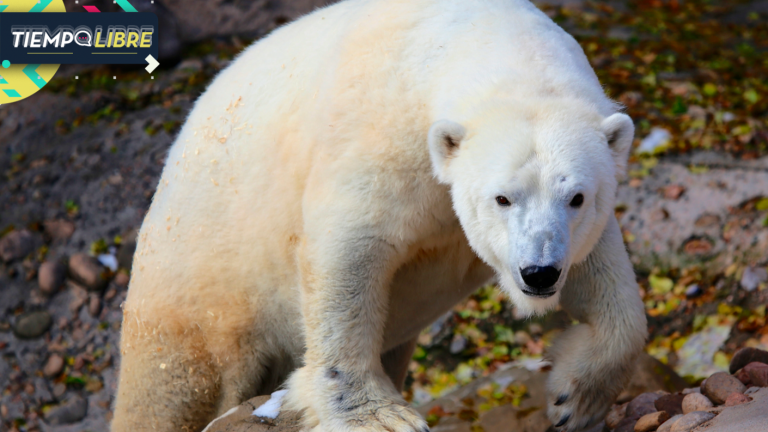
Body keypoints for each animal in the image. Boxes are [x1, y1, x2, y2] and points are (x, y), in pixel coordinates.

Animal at [111, 0, 647, 431]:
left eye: (576, 197)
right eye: (502, 198)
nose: (538, 273)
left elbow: (605, 280)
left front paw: (573, 400)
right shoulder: (381, 131)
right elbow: (350, 251)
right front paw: (379, 416)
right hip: (199, 287)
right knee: (175, 388)